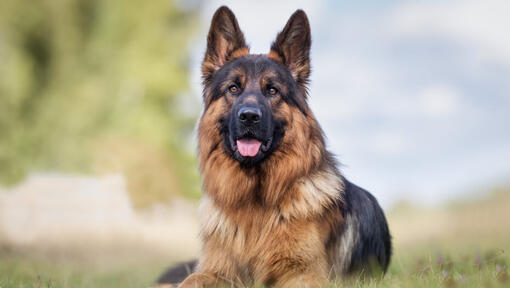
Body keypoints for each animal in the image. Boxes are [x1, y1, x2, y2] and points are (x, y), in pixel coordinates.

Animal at [157, 5, 392, 288]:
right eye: (233, 88)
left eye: (272, 91)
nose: (249, 116)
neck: (254, 201)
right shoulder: (216, 270)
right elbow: (189, 279)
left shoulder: (304, 273)